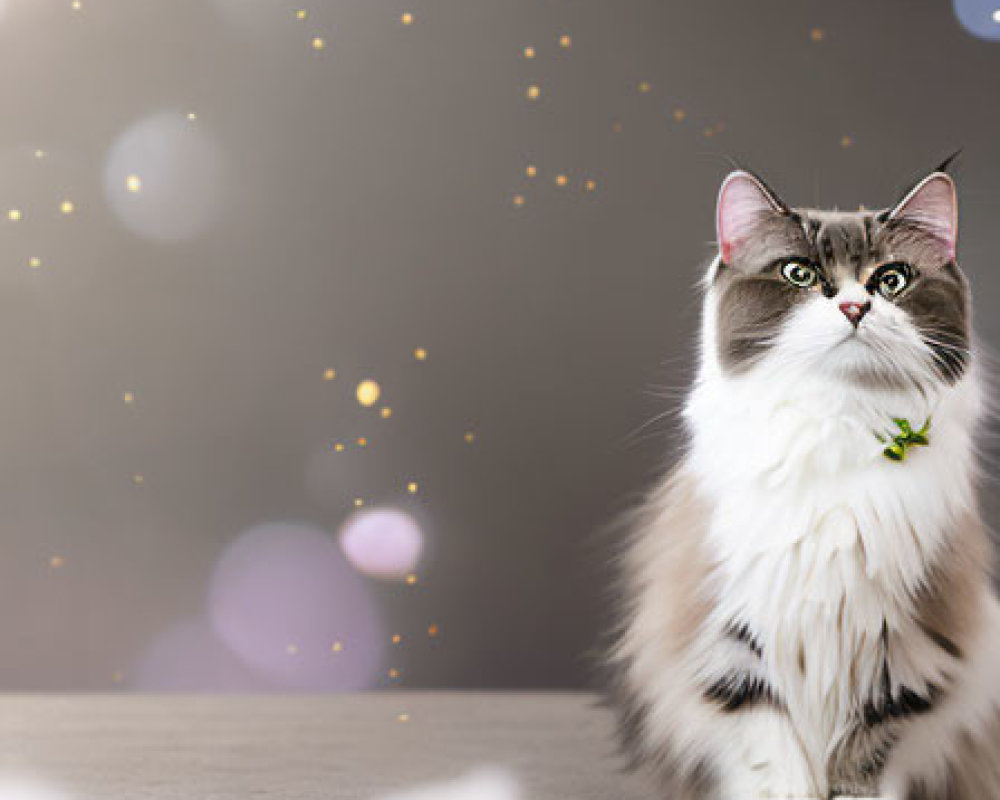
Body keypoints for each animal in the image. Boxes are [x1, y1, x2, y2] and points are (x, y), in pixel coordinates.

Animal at [608, 166, 1000, 796]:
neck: (837, 422)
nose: (855, 307)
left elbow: (864, 768)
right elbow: (775, 767)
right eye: (801, 274)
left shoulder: (910, 657)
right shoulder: (733, 649)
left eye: (891, 279)